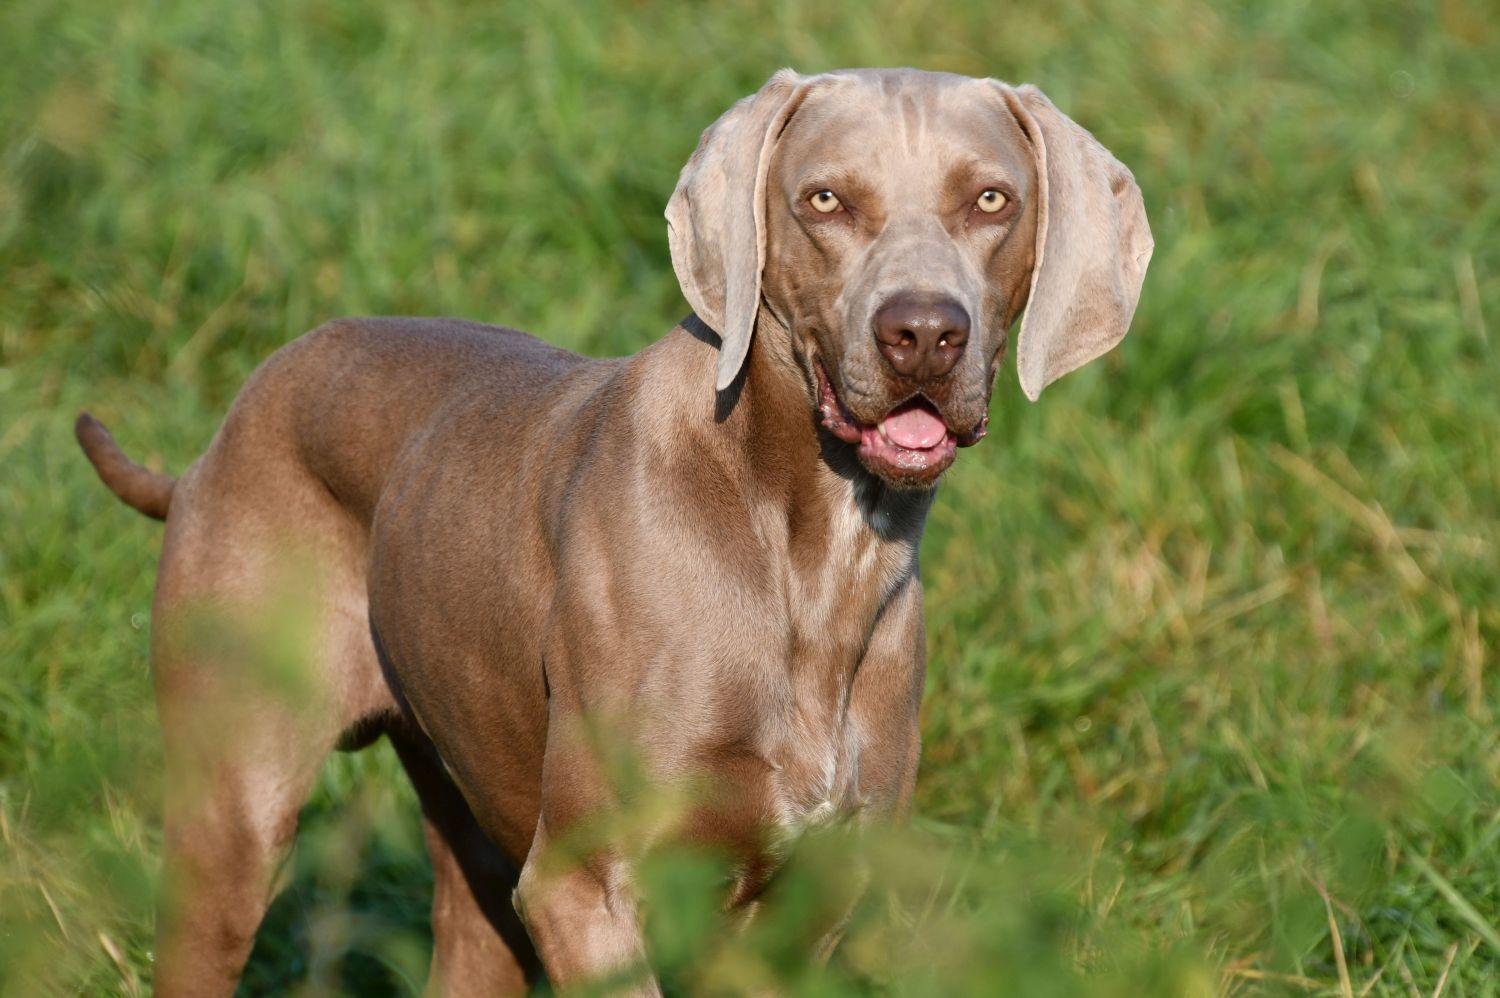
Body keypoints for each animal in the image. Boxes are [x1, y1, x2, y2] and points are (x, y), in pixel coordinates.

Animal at [76, 66, 1152, 990]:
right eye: (824, 202)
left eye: (992, 201)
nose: (923, 333)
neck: (806, 549)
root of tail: (218, 439)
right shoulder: (584, 887)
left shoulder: (801, 908)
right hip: (236, 814)